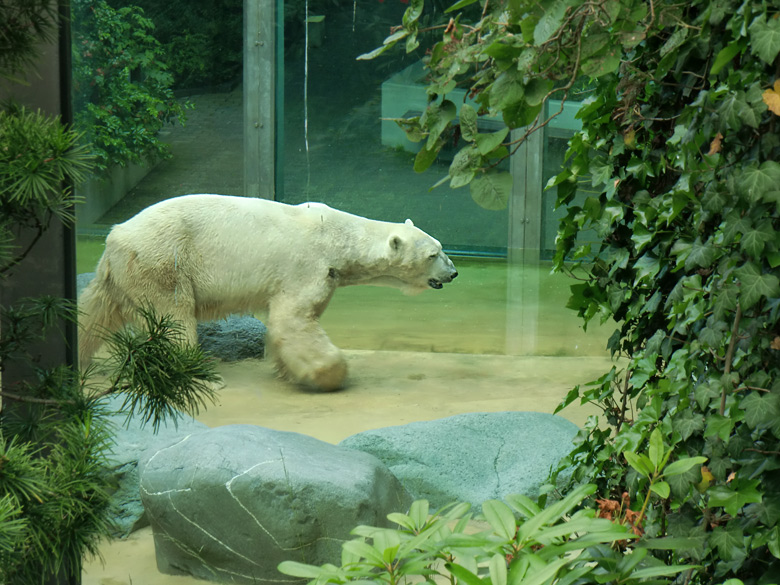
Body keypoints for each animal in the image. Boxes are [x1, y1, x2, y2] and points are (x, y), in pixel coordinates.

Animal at [79, 194, 458, 390]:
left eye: (441, 248)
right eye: (433, 254)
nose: (453, 272)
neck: (338, 236)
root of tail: (114, 235)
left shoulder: (327, 272)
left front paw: (287, 369)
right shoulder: (307, 265)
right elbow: (294, 319)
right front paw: (326, 375)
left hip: (123, 273)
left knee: (93, 312)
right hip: (163, 260)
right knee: (173, 316)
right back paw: (193, 374)